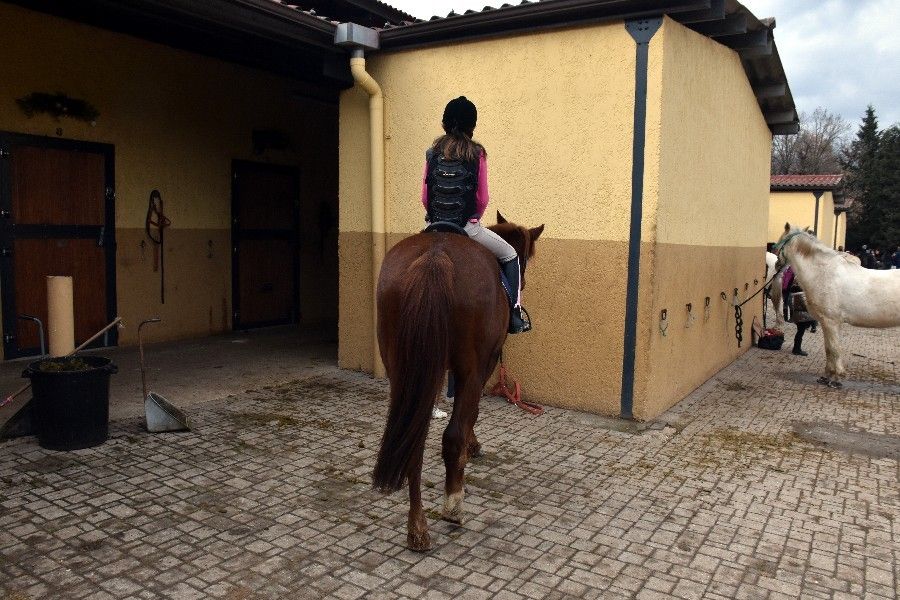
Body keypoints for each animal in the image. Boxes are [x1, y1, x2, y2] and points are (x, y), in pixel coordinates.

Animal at [370, 212, 540, 552]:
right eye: (525, 257)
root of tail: (435, 258)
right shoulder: (484, 365)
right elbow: (470, 415)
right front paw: (472, 447)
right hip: (470, 368)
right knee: (451, 435)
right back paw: (452, 507)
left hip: (403, 371)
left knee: (414, 439)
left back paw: (417, 528)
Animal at [772, 223, 900, 386]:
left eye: (778, 243)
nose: (776, 264)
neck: (824, 273)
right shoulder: (829, 323)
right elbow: (829, 349)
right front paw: (827, 375)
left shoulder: (830, 321)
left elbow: (833, 349)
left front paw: (835, 377)